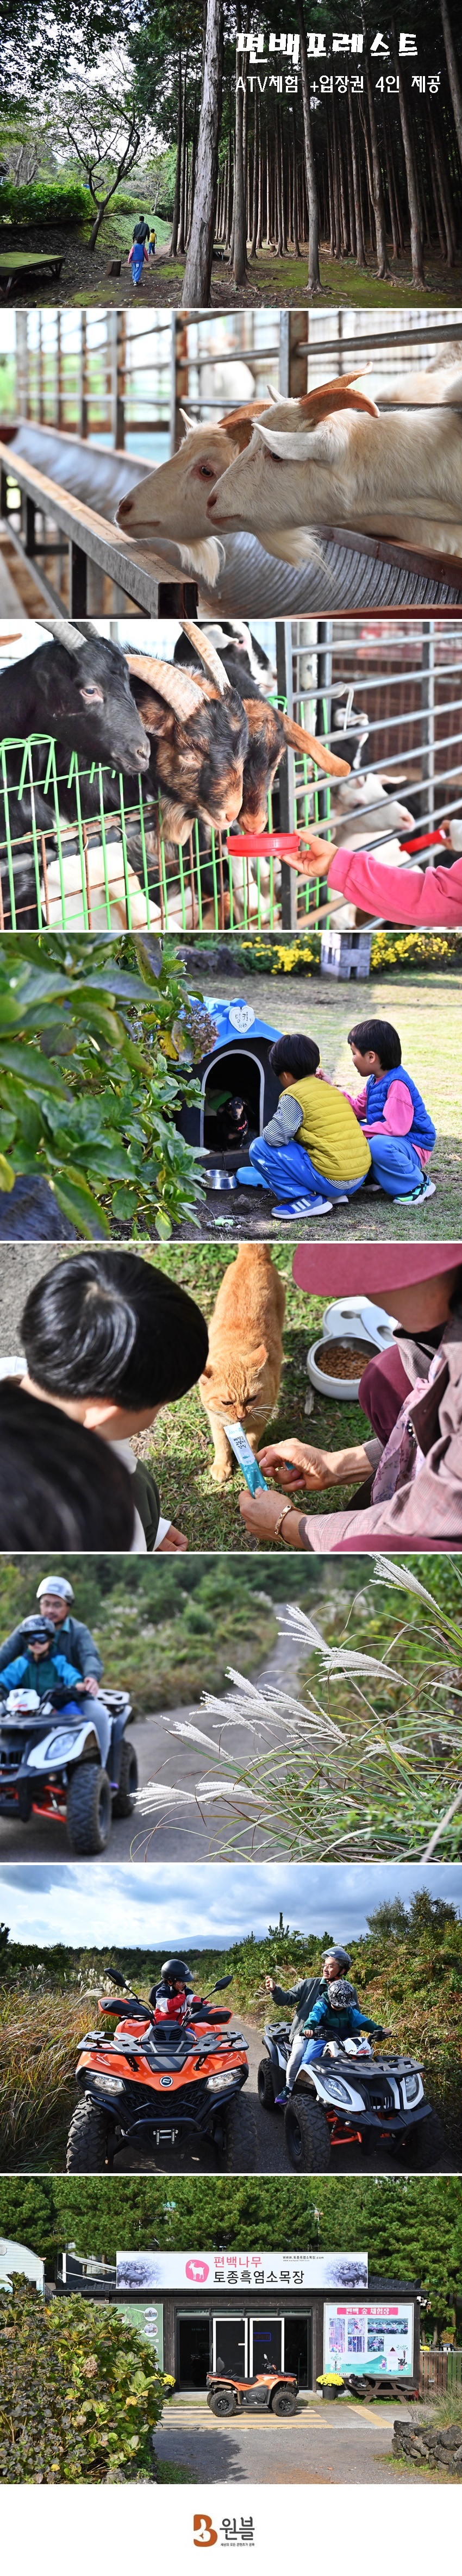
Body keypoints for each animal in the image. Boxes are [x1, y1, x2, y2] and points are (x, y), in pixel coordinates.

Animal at [198, 1252, 285, 1494]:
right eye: (227, 1403)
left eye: (252, 1399)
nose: (241, 1417)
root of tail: (253, 1255)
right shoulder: (217, 1421)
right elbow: (221, 1444)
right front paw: (222, 1465)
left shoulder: (262, 1416)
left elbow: (253, 1440)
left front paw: (253, 1459)